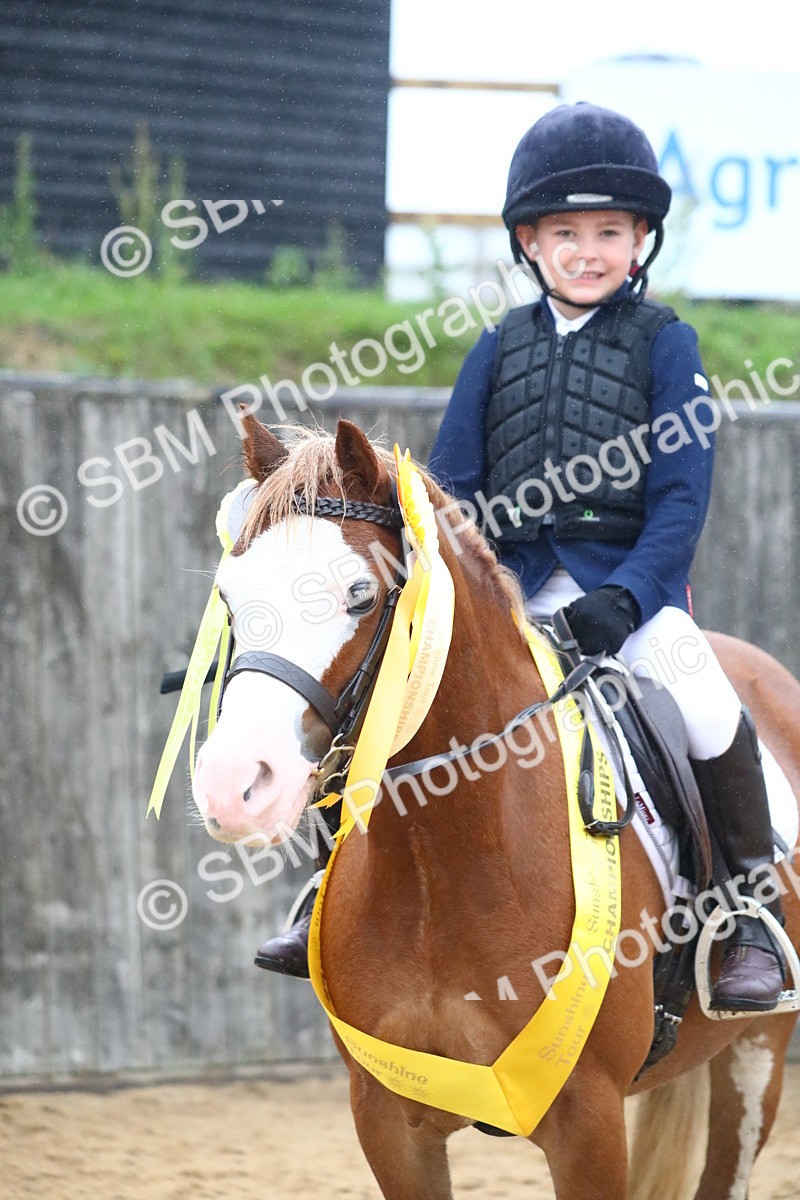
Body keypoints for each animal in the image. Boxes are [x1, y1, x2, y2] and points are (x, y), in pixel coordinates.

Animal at [192, 412, 800, 1200]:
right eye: (230, 598)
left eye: (360, 594)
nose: (232, 786)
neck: (440, 867)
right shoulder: (387, 1119)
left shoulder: (589, 1125)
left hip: (757, 1052)